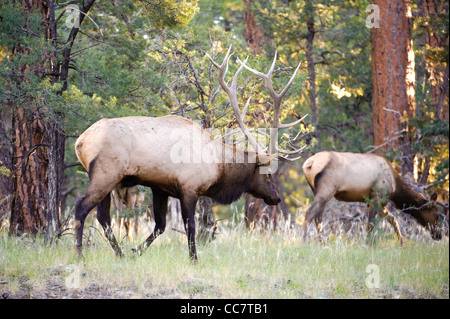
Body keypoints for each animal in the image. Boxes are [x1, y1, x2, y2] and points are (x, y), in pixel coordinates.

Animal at [300, 151, 442, 244]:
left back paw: (322, 243)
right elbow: (371, 225)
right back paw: (303, 242)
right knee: (309, 213)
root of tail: (309, 164)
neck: (395, 186)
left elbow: (392, 219)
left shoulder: (376, 202)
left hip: (317, 191)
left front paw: (402, 243)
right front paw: (368, 244)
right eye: (436, 214)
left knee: (318, 218)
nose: (438, 235)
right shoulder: (377, 197)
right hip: (326, 190)